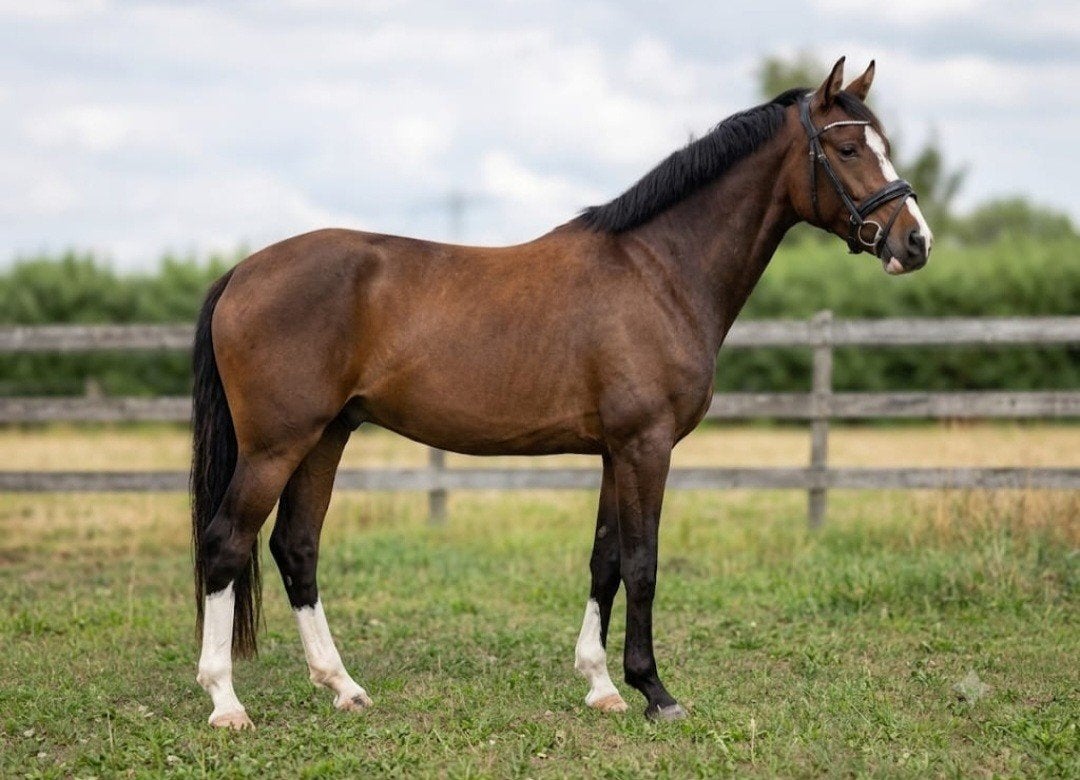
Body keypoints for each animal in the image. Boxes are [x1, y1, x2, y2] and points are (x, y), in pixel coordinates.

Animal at [191, 57, 932, 728]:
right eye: (846, 148)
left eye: (885, 145)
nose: (916, 242)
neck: (660, 271)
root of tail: (243, 272)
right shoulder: (646, 447)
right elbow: (642, 563)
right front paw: (655, 692)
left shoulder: (614, 451)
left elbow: (604, 560)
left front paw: (601, 686)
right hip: (276, 445)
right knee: (226, 542)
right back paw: (226, 702)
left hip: (326, 436)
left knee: (296, 547)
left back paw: (343, 687)